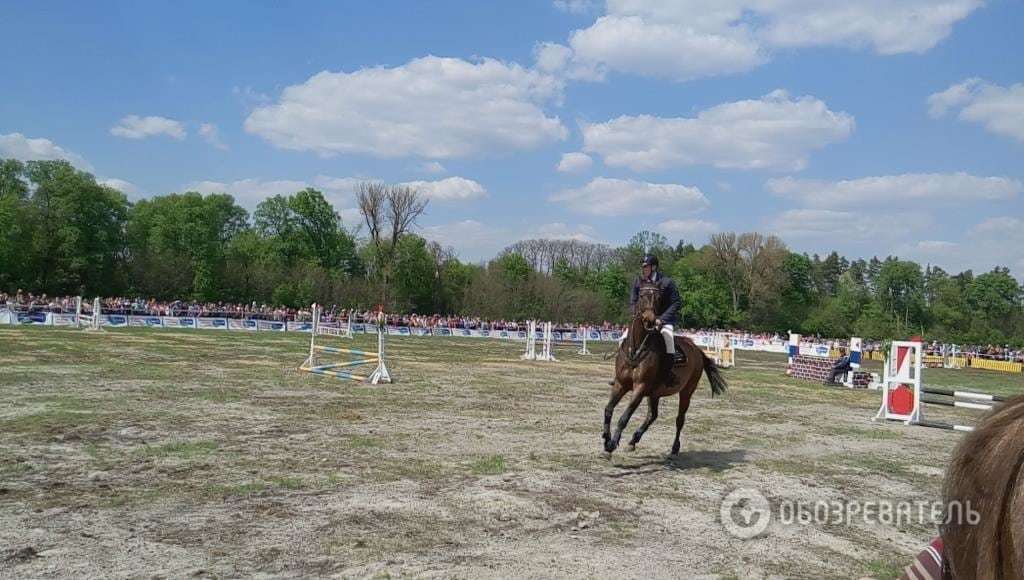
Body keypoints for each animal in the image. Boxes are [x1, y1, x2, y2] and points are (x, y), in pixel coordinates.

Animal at [598, 284, 729, 457]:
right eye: (641, 296)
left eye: (659, 298)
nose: (650, 320)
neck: (637, 349)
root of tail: (696, 349)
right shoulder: (621, 384)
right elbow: (608, 409)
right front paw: (607, 439)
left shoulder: (640, 388)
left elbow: (624, 417)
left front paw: (612, 444)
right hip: (655, 393)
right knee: (652, 415)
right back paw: (633, 441)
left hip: (686, 392)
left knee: (679, 419)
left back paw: (674, 448)